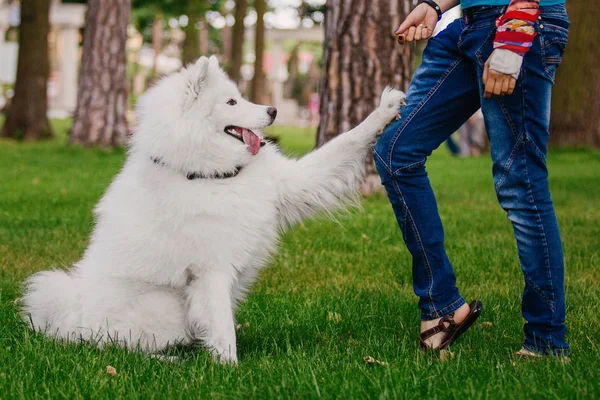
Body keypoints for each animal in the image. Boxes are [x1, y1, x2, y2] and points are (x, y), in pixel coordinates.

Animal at [21, 54, 406, 364]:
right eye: (232, 101)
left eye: (241, 96)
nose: (273, 110)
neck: (211, 174)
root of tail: (73, 321)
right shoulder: (212, 270)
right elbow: (221, 325)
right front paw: (229, 367)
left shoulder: (291, 184)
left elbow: (347, 141)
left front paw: (384, 111)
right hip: (163, 305)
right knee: (121, 347)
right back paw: (171, 359)